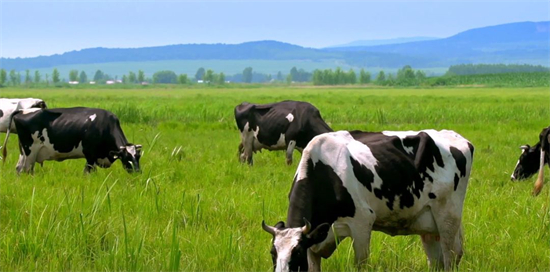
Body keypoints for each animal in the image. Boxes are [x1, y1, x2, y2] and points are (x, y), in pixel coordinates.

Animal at [1, 107, 142, 174]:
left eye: (138, 157)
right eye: (126, 158)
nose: (138, 172)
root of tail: (22, 110)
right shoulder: (90, 155)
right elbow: (88, 172)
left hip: (23, 151)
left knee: (18, 168)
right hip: (30, 152)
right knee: (27, 170)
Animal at [262, 129, 474, 270]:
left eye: (296, 253)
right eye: (273, 253)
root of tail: (456, 137)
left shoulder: (362, 223)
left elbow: (360, 264)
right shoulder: (315, 242)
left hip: (447, 217)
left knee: (450, 257)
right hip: (428, 224)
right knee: (437, 260)